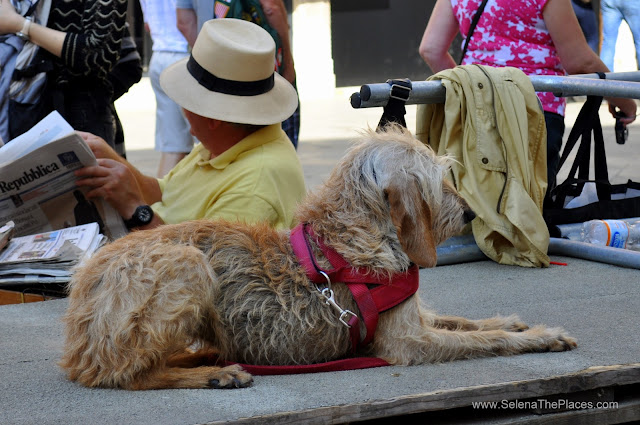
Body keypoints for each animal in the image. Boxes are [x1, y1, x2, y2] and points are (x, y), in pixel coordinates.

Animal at [61, 124, 576, 390]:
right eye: (436, 180)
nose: (469, 212)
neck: (355, 232)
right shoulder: (408, 343)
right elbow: (482, 341)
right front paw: (541, 337)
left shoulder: (415, 316)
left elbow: (465, 321)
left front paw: (512, 322)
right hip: (187, 264)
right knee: (127, 374)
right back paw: (216, 374)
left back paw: (210, 357)